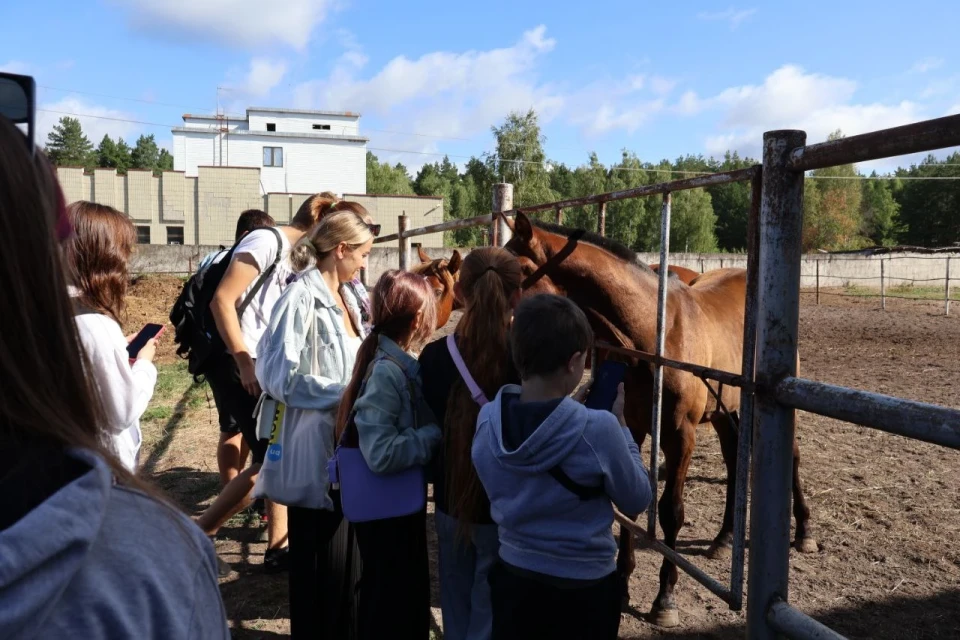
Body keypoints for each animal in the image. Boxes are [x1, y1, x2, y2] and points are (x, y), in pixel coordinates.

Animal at [502, 212, 816, 628]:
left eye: (520, 269)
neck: (655, 336)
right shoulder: (634, 428)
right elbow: (631, 505)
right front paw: (621, 584)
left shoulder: (680, 436)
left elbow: (670, 512)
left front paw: (665, 598)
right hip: (726, 412)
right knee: (734, 460)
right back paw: (724, 538)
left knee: (791, 456)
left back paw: (804, 531)